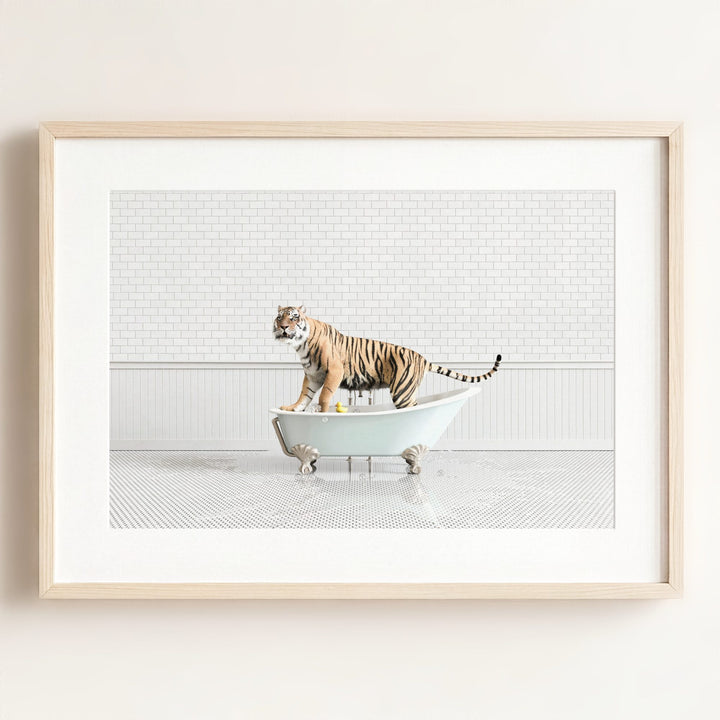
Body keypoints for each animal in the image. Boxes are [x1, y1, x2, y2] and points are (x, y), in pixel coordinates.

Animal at [274, 306, 502, 413]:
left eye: (294, 317)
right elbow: (304, 395)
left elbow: (323, 396)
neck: (301, 344)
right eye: (279, 317)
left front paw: (321, 412)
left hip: (402, 390)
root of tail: (422, 358)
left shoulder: (334, 371)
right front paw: (292, 408)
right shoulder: (313, 375)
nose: (283, 327)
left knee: (413, 409)